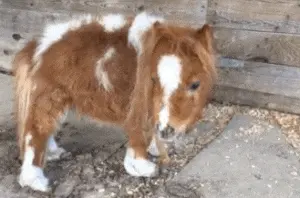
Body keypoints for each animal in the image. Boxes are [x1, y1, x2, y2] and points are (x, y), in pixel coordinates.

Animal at [11, 11, 217, 192]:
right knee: (35, 132)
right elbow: (138, 135)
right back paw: (36, 181)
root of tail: (37, 46)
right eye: (153, 80)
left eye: (195, 84)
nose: (167, 130)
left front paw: (154, 149)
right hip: (50, 97)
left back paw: (54, 153)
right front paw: (143, 168)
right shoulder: (139, 106)